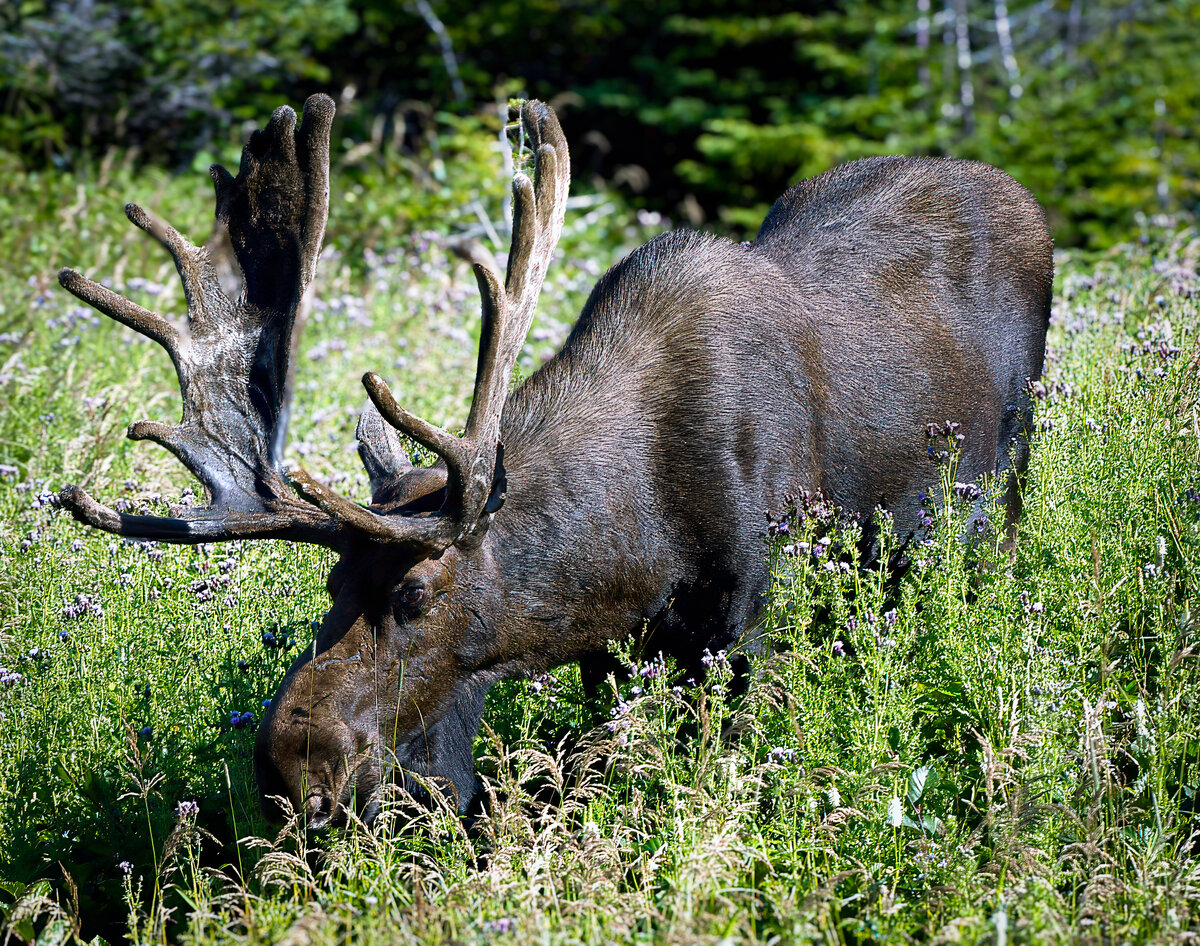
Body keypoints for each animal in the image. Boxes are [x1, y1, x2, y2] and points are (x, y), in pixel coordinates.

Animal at [56, 94, 1052, 828]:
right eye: (332, 587)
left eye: (415, 595)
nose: (293, 768)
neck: (641, 540)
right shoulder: (614, 652)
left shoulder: (752, 616)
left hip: (1002, 478)